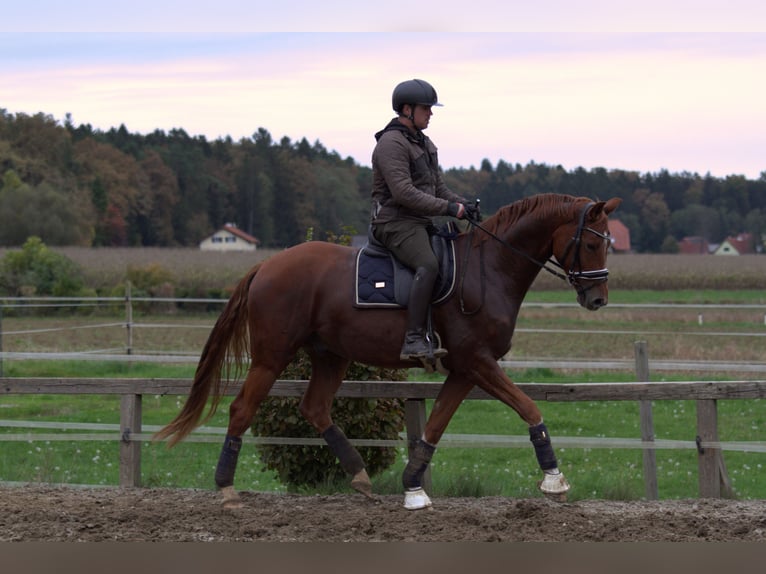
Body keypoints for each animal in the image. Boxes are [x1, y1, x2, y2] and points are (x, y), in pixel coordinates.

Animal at [156, 195, 624, 512]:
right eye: (591, 244)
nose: (598, 299)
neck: (489, 269)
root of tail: (266, 265)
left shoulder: (464, 369)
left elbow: (434, 426)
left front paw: (413, 486)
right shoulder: (477, 361)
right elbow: (529, 408)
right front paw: (554, 480)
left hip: (331, 355)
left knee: (315, 407)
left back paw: (360, 475)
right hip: (273, 356)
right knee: (242, 409)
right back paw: (226, 489)